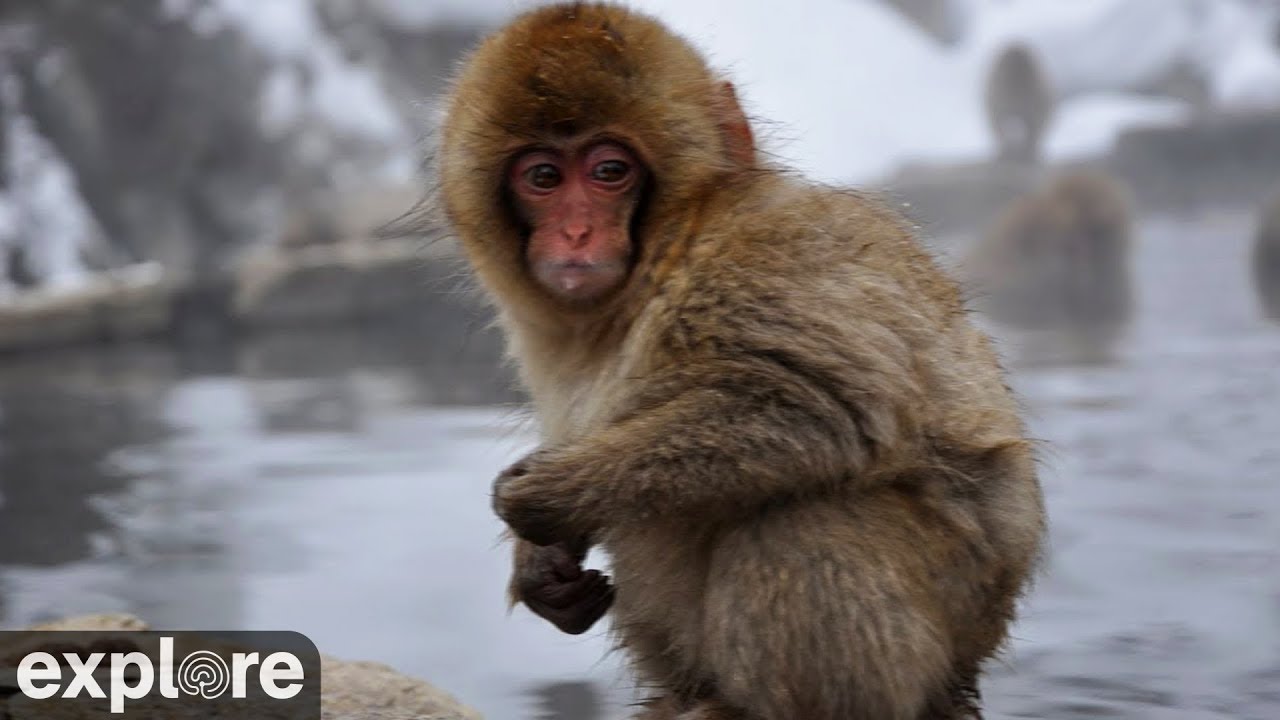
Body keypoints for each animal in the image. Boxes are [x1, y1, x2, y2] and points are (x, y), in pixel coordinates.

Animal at [438, 5, 1046, 719]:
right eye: (543, 178)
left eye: (610, 171)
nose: (577, 232)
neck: (665, 252)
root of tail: (965, 677)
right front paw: (542, 563)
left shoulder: (768, 258)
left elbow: (814, 407)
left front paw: (550, 493)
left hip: (949, 624)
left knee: (804, 517)